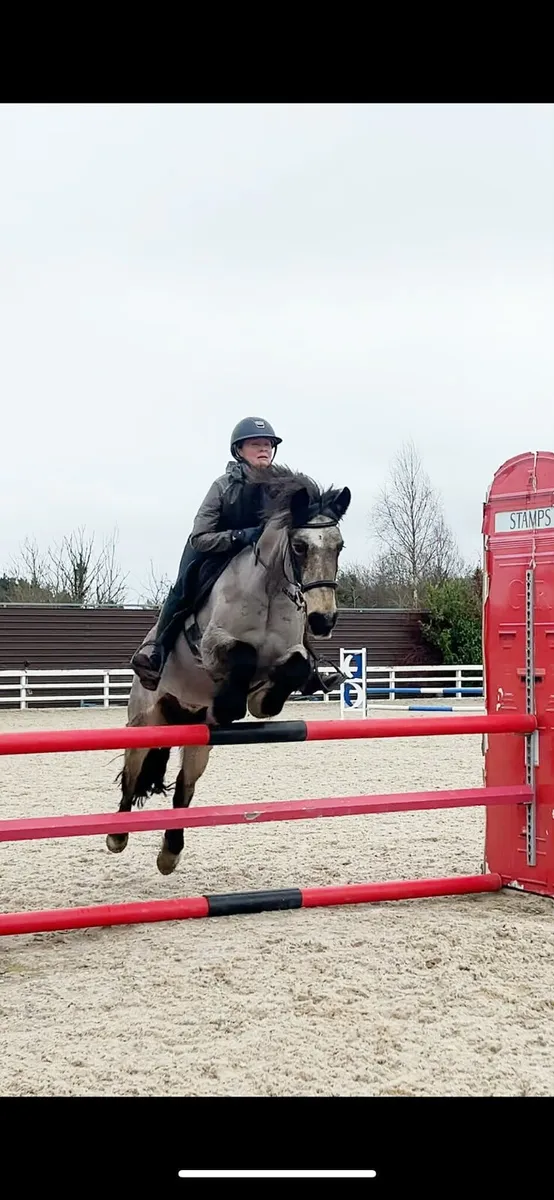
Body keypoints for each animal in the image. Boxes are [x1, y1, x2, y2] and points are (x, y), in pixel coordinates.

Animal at [106, 466, 351, 875]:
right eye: (300, 546)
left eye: (339, 546)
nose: (322, 620)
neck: (269, 590)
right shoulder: (210, 645)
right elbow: (242, 655)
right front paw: (230, 704)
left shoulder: (286, 657)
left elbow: (292, 669)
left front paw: (258, 700)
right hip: (144, 723)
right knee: (131, 776)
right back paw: (117, 835)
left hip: (197, 741)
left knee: (184, 790)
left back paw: (170, 853)